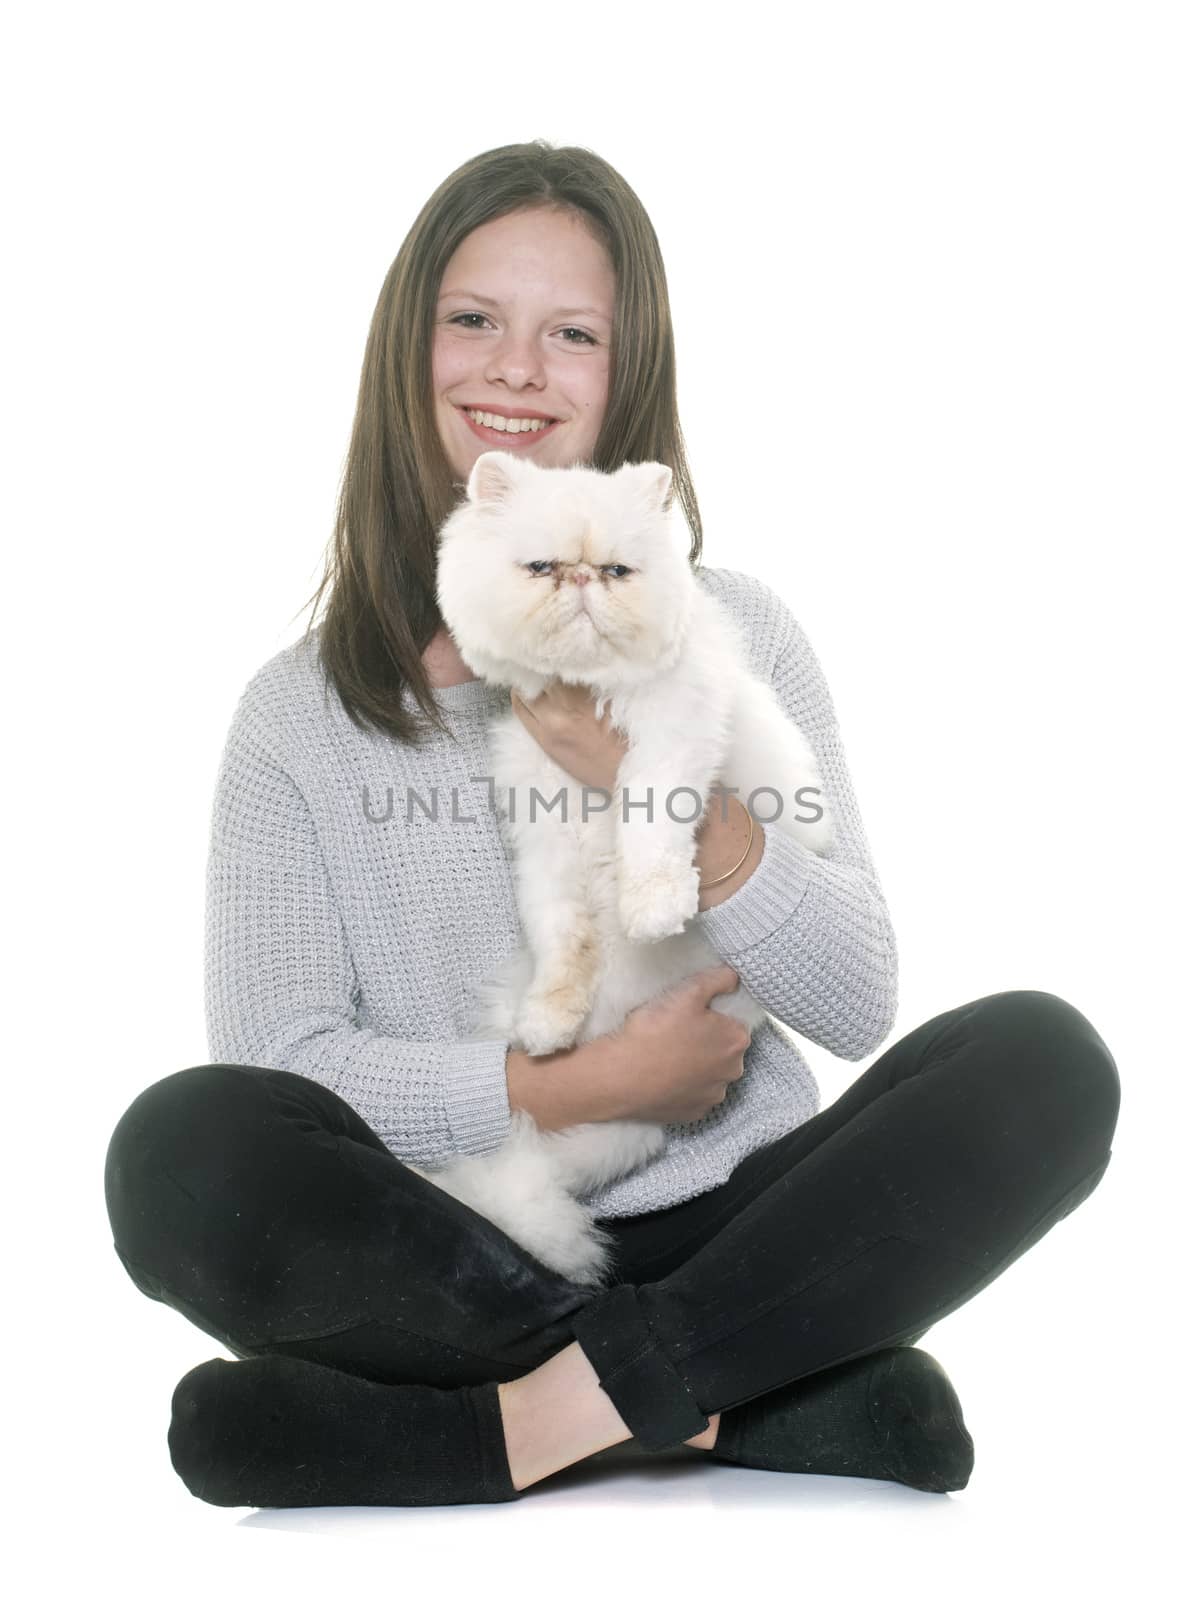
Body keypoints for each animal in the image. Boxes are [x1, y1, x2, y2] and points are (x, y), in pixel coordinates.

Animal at [404, 448, 837, 1286]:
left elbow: (650, 834)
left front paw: (652, 910)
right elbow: (563, 941)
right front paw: (549, 1023)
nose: (580, 581)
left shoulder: (669, 744)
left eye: (616, 571)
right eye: (541, 568)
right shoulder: (542, 832)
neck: (591, 692)